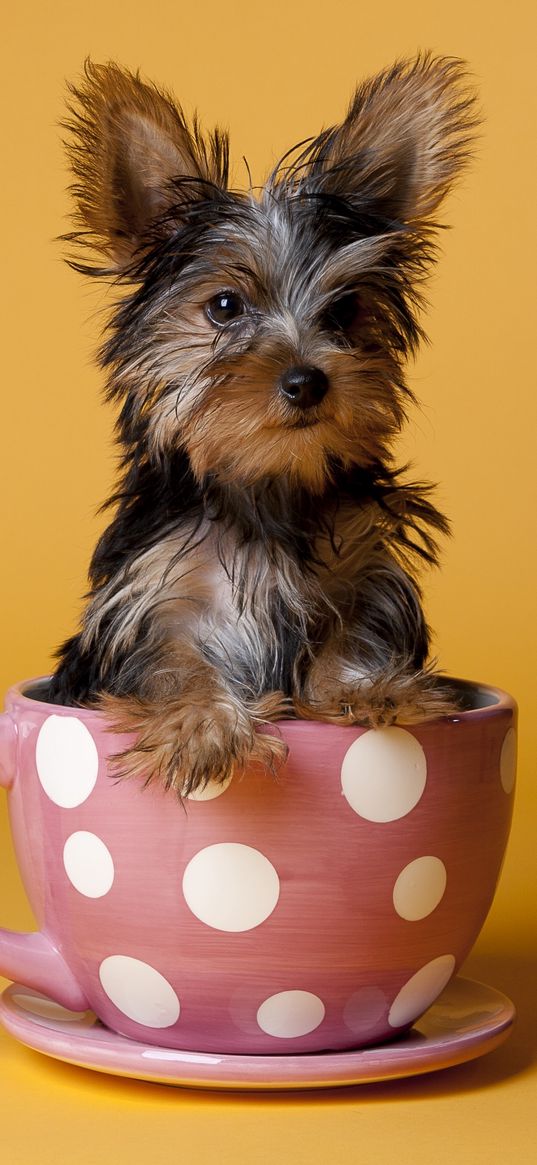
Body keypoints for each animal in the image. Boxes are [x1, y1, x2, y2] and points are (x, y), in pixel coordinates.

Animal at [50, 59, 477, 796]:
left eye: (345, 309)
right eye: (224, 306)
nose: (307, 379)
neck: (265, 481)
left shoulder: (363, 568)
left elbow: (353, 626)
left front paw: (368, 686)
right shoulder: (148, 598)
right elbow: (174, 662)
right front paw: (202, 728)